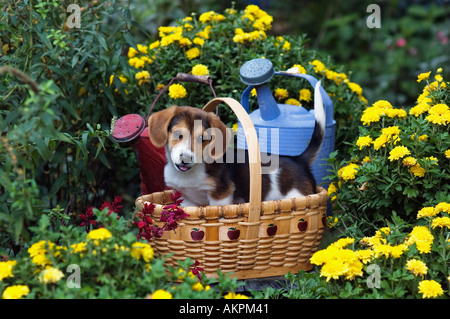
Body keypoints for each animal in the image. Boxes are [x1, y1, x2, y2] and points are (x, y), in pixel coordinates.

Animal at [149, 82, 326, 208]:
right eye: (178, 135)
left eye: (203, 139)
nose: (185, 158)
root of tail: (299, 160)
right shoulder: (187, 199)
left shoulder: (221, 196)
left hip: (297, 195)